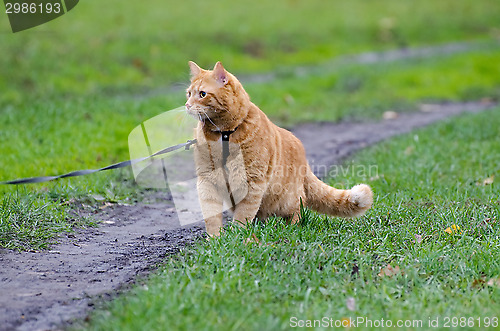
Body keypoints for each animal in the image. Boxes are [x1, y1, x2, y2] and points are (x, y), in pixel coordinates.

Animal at [186, 61, 374, 236]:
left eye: (202, 94)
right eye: (188, 93)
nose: (187, 105)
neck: (224, 133)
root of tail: (305, 161)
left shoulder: (252, 180)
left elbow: (243, 213)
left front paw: (237, 235)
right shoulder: (207, 179)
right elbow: (211, 214)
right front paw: (215, 239)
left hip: (288, 199)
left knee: (298, 210)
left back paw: (290, 226)